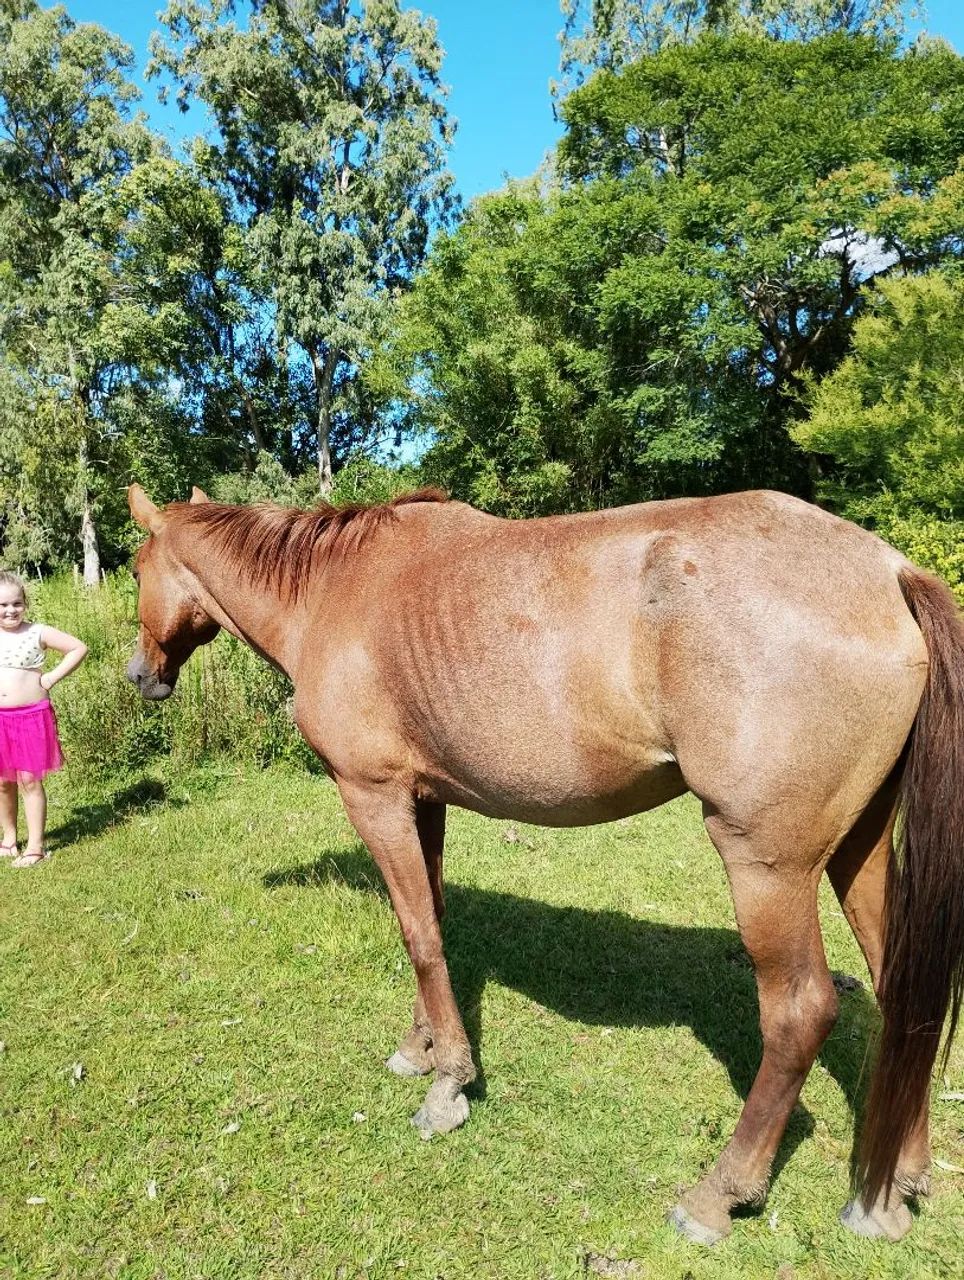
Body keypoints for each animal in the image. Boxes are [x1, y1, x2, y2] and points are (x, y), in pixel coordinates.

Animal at [126, 482, 964, 1246]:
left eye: (135, 567)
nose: (139, 675)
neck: (333, 590)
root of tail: (889, 572)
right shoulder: (424, 800)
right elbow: (432, 925)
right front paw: (421, 1049)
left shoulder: (374, 796)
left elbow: (417, 936)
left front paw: (449, 1083)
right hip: (857, 849)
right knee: (903, 995)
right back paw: (893, 1187)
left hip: (767, 865)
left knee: (799, 1014)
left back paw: (719, 1196)